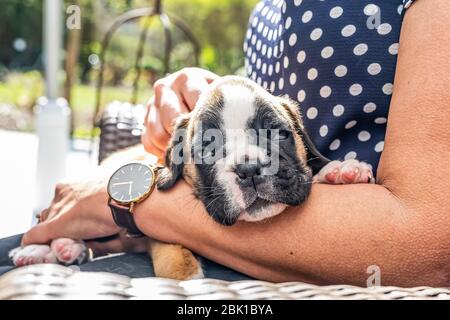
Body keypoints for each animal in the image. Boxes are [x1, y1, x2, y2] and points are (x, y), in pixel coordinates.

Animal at [9, 76, 372, 278]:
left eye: (278, 134)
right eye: (208, 148)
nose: (249, 169)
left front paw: (339, 169)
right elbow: (169, 246)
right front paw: (185, 276)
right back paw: (46, 248)